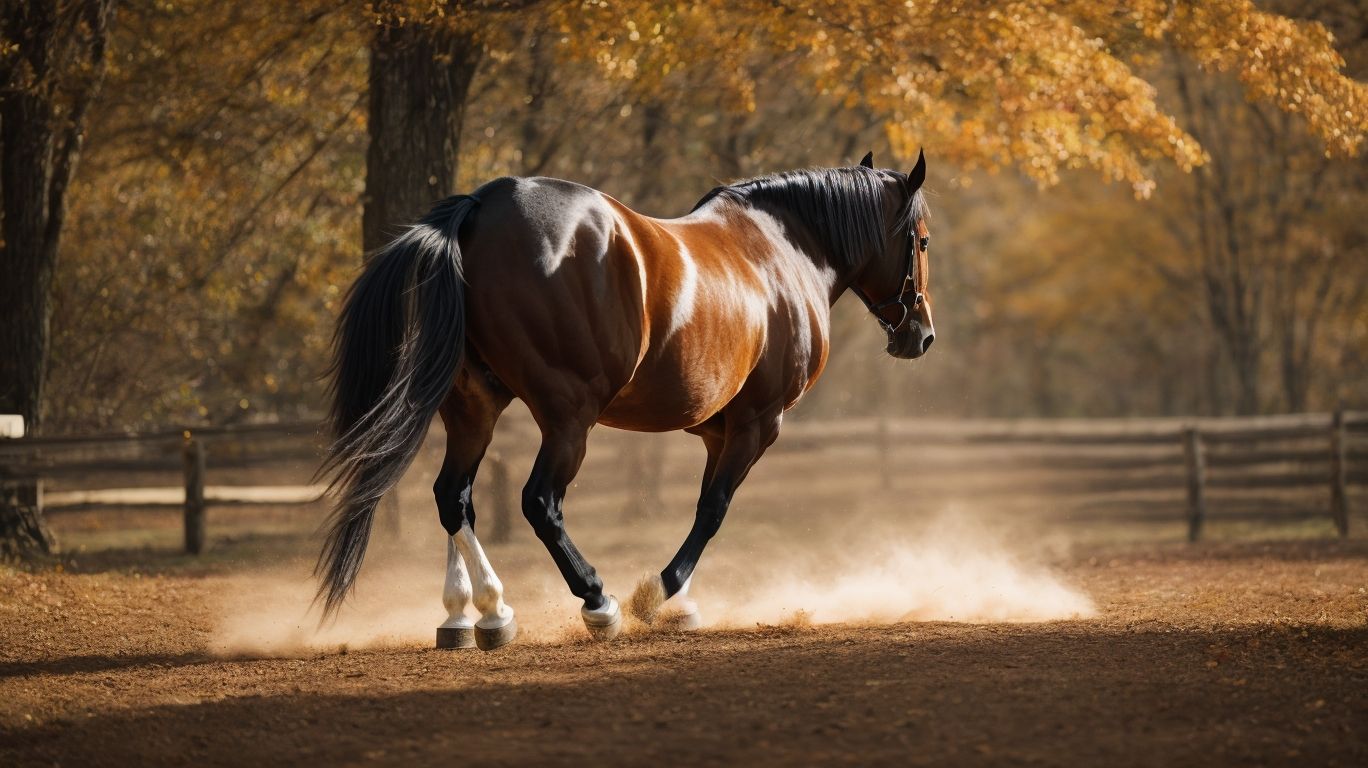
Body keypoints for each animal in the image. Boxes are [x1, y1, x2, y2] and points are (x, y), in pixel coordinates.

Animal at [316, 150, 935, 650]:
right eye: (922, 240)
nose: (921, 335)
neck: (784, 252)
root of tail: (482, 207)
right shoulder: (757, 423)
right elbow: (713, 510)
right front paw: (655, 595)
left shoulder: (716, 430)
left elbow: (706, 506)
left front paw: (679, 603)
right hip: (568, 418)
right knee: (539, 502)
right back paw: (596, 602)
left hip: (475, 406)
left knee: (454, 496)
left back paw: (481, 613)